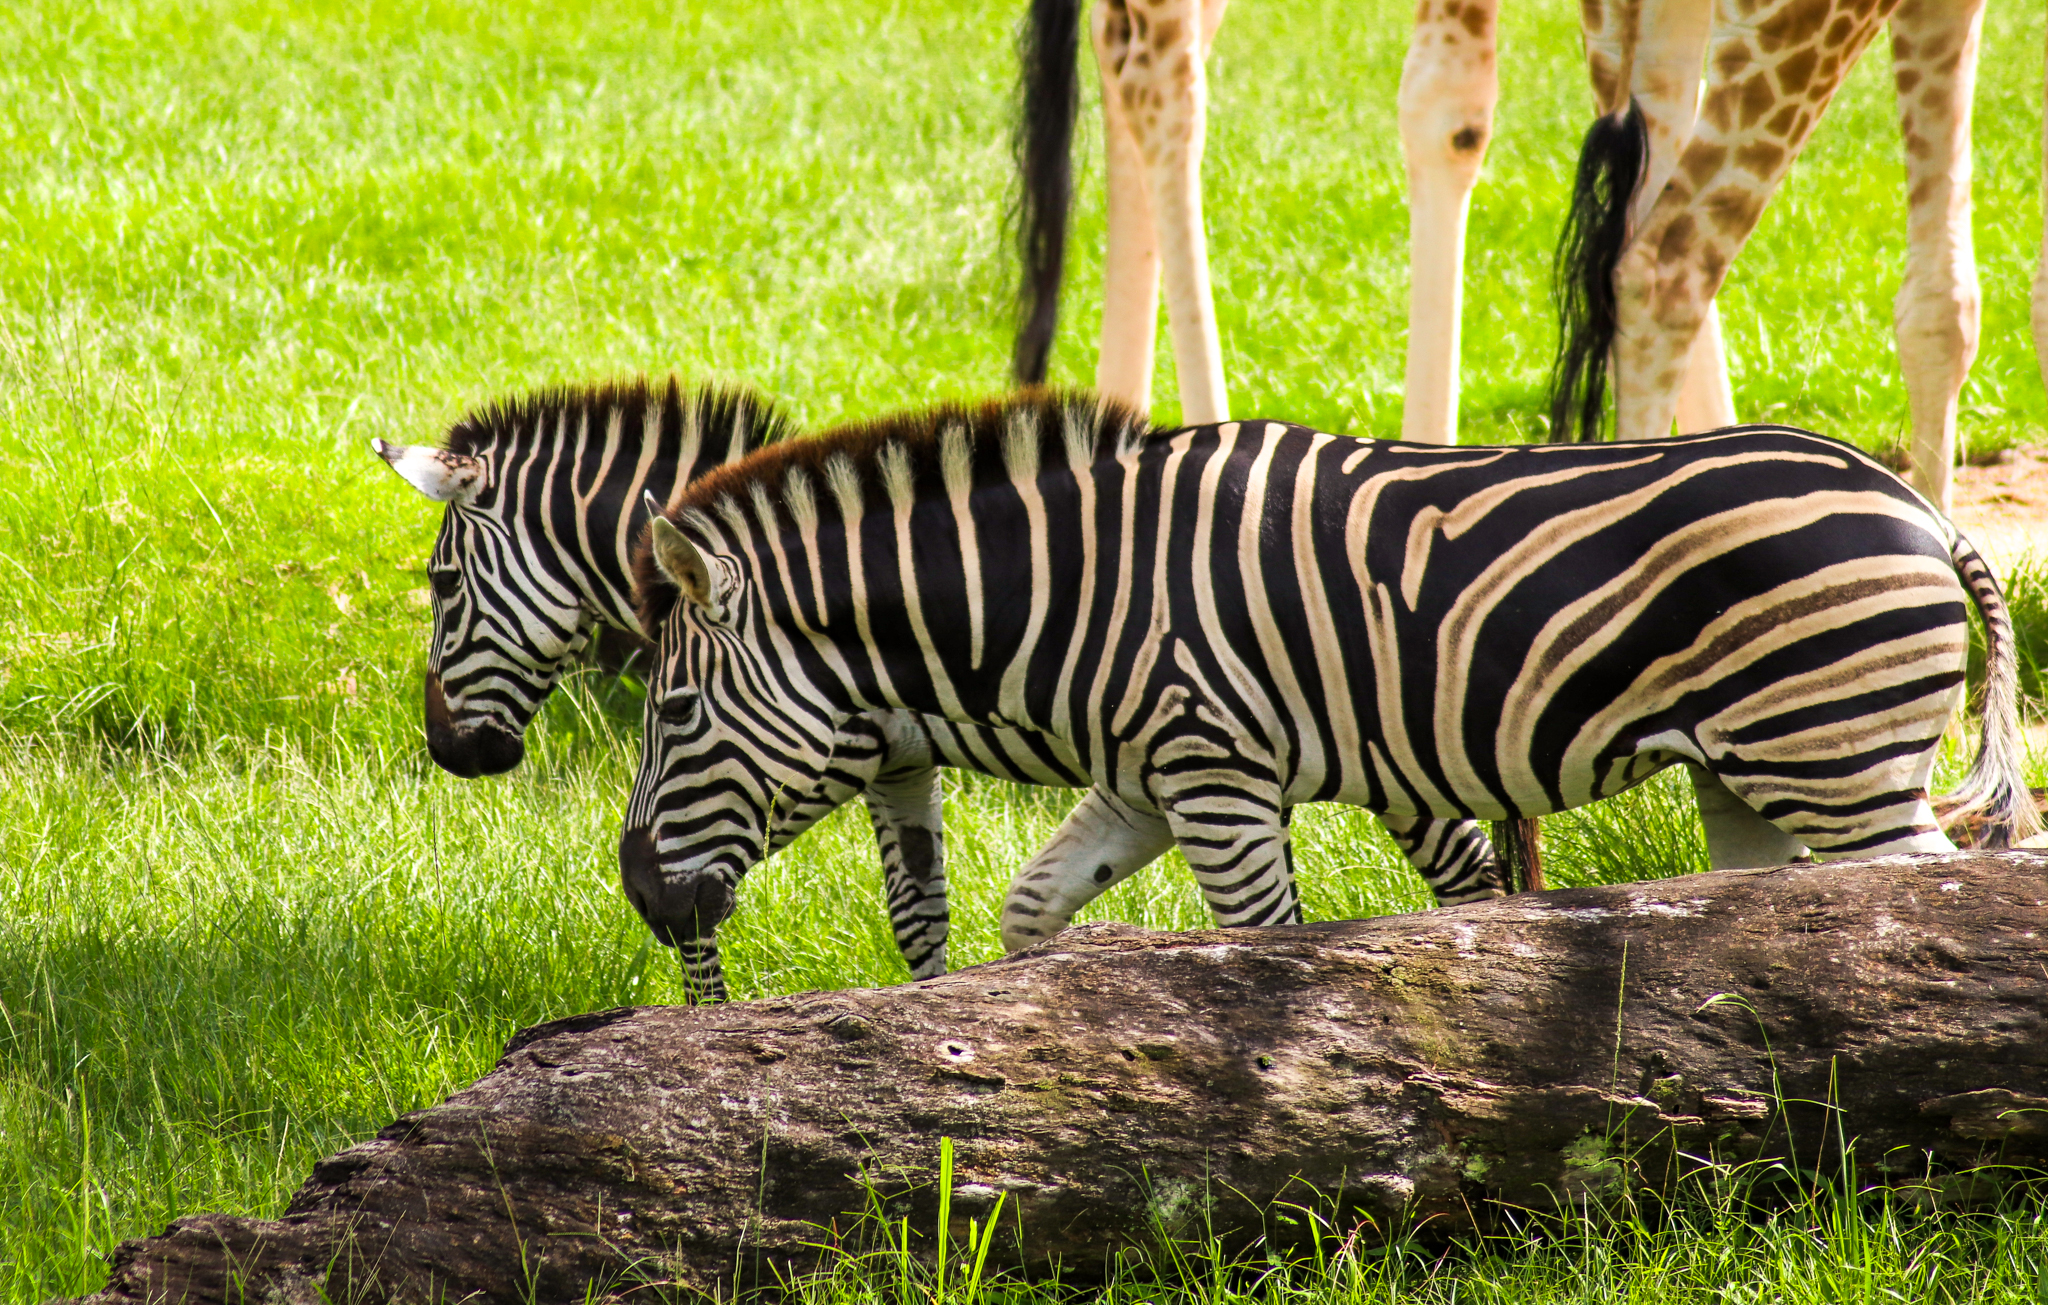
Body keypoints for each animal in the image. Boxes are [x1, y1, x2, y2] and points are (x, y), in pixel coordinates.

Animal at [371, 378, 1516, 999]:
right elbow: (915, 908)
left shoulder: (849, 753)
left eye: (441, 583)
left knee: (1462, 862)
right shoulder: (890, 760)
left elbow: (893, 907)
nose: (450, 751)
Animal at [622, 390, 2039, 962]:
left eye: (675, 713)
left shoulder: (1216, 781)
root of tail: (1924, 509)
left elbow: (1265, 947)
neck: (1077, 592)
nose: (640, 896)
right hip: (1750, 777)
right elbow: (1031, 908)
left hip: (1836, 755)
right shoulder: (1145, 780)